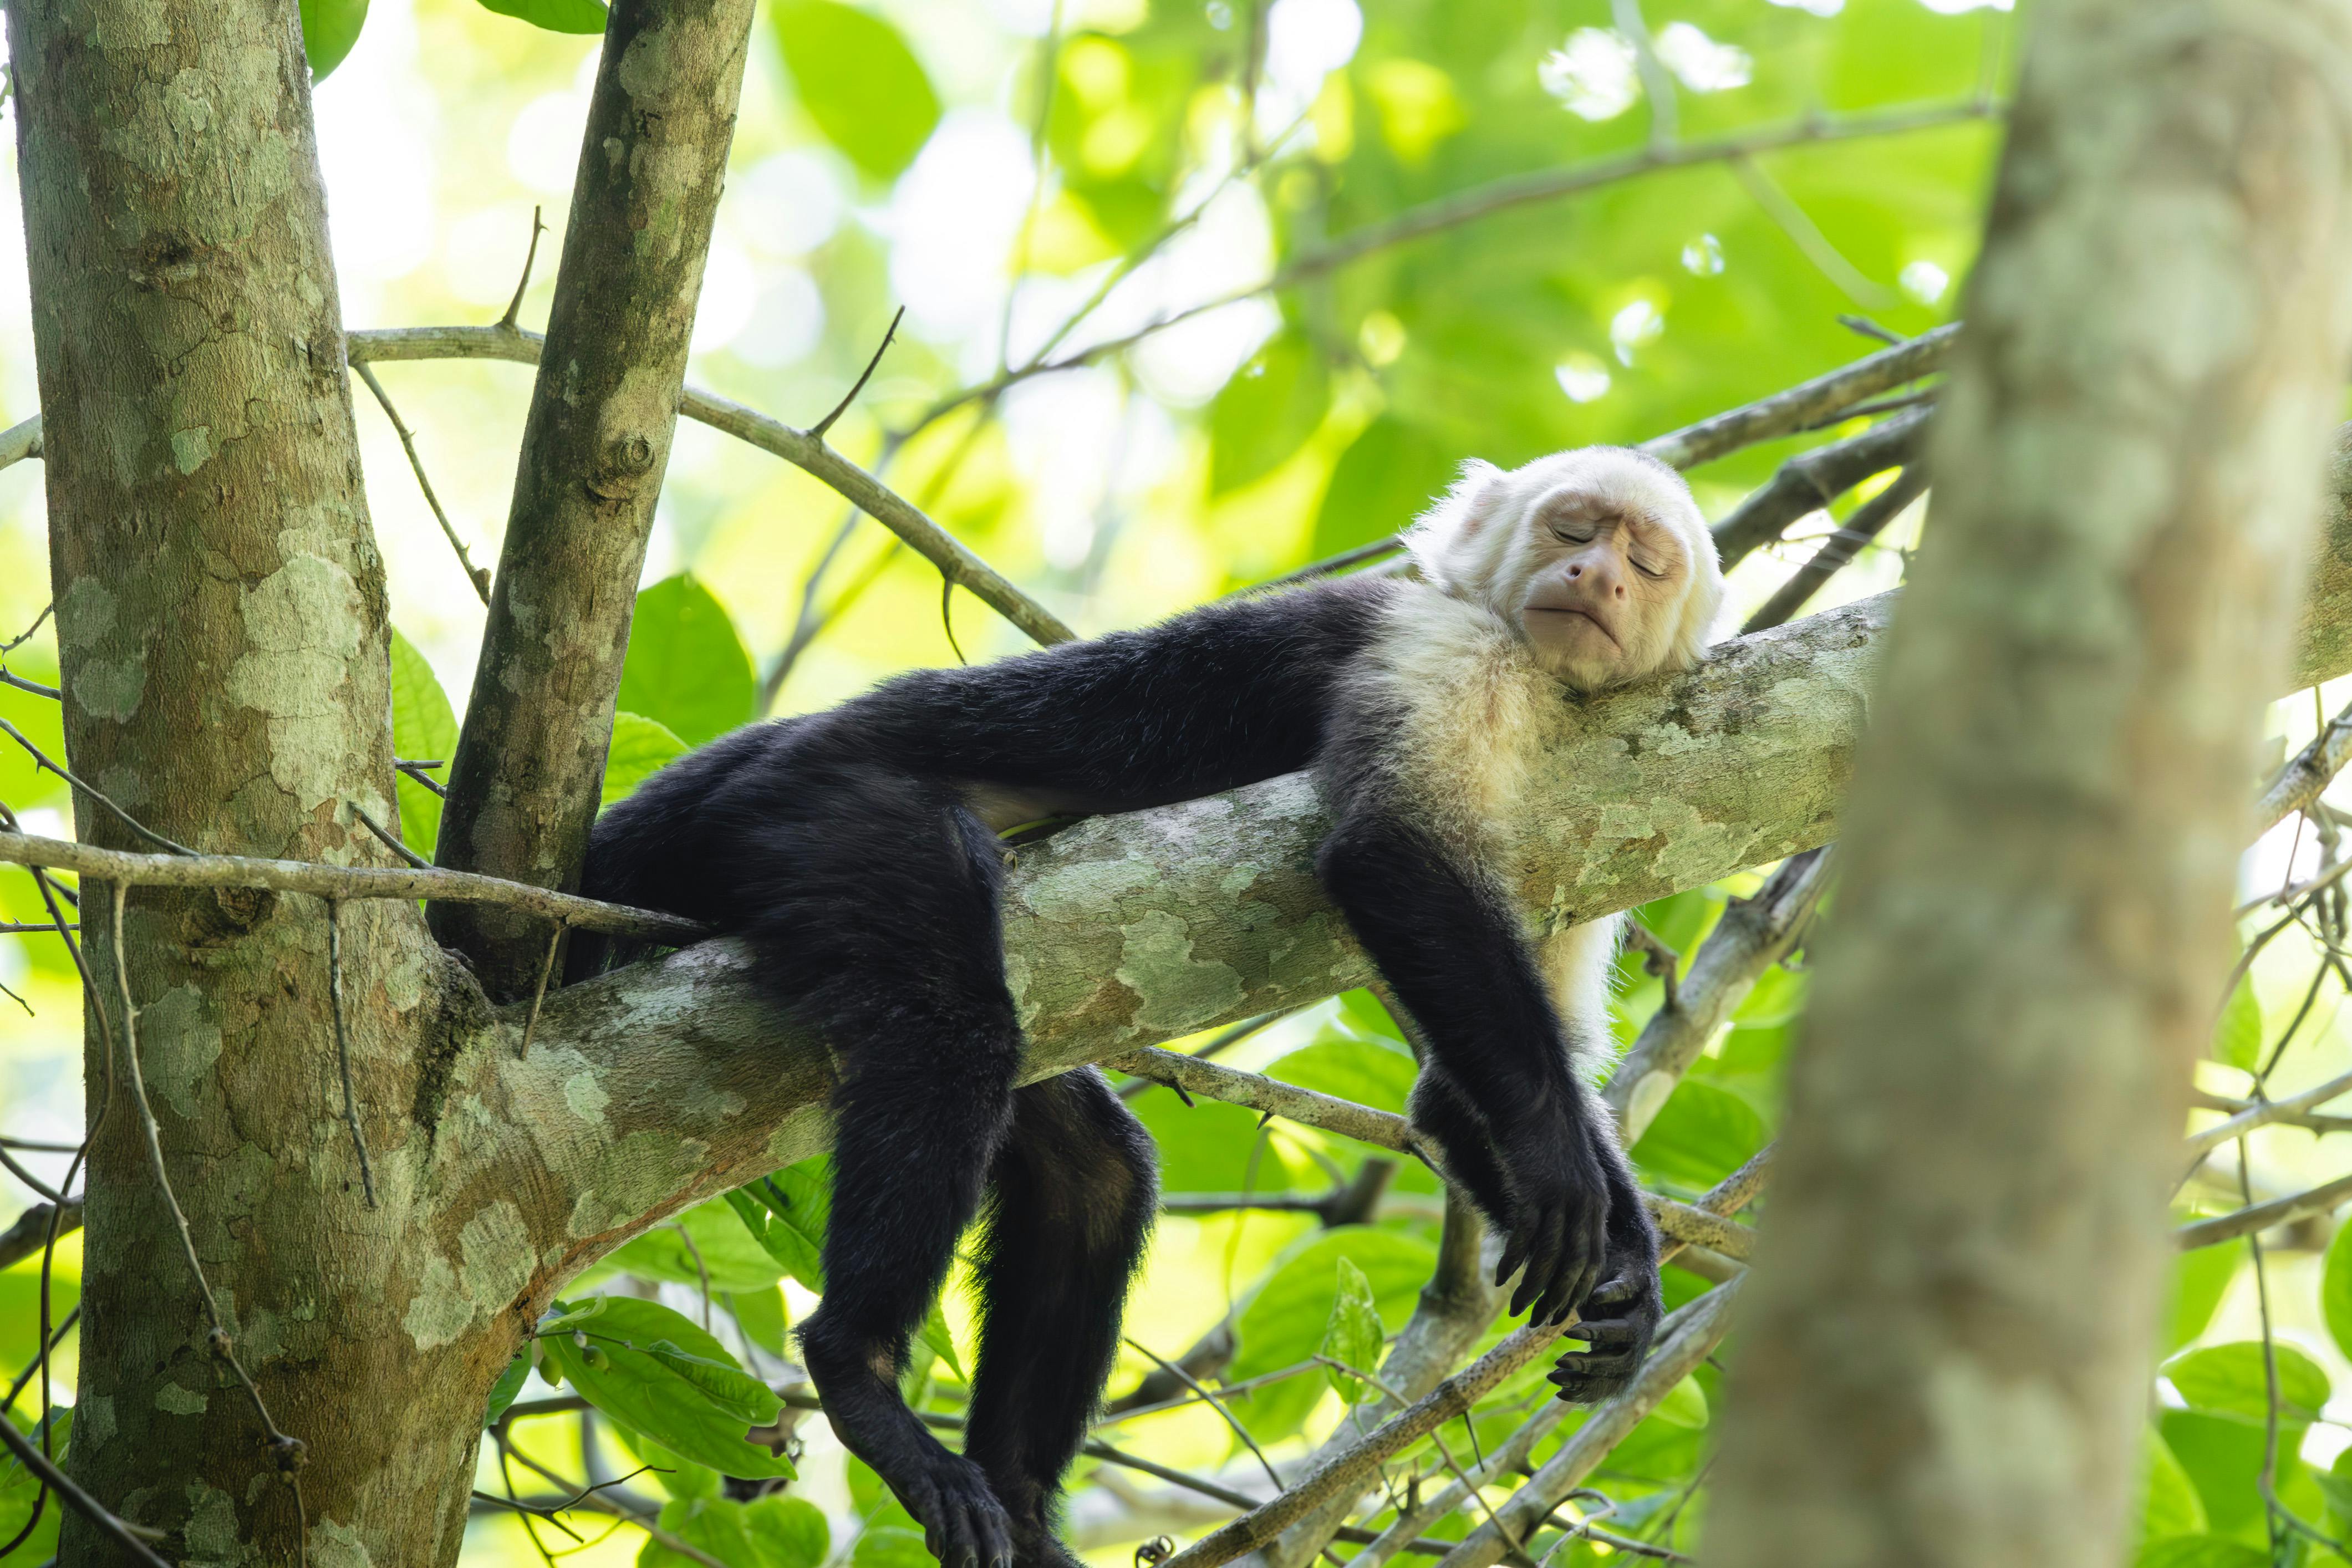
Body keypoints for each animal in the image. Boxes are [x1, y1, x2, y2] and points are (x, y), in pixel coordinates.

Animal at [573, 444, 1727, 1568]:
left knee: (1093, 1163)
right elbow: (1389, 853)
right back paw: (857, 1372)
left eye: (1648, 562)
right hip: (813, 809)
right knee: (951, 1026)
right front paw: (1560, 1160)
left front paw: (1624, 1273)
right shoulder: (1446, 648)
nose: (1594, 575)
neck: (1546, 686)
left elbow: (1448, 1097)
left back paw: (1020, 1503)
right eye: (1572, 526)